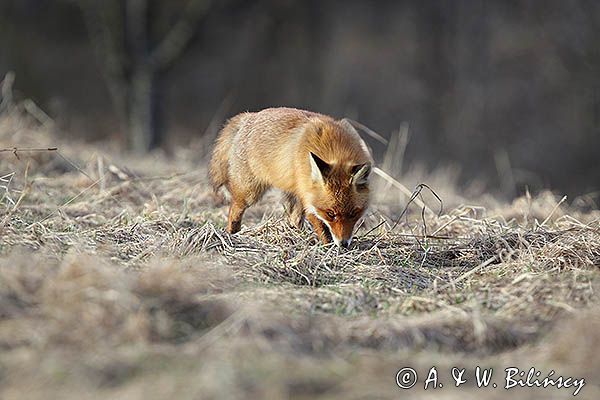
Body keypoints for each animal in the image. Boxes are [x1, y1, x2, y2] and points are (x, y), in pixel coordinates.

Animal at [209, 108, 372, 248]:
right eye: (330, 214)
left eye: (353, 213)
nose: (344, 244)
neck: (333, 147)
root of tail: (249, 116)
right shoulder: (308, 198)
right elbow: (322, 229)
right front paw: (328, 247)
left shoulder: (305, 192)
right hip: (249, 193)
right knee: (234, 210)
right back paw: (231, 235)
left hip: (293, 192)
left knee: (294, 219)